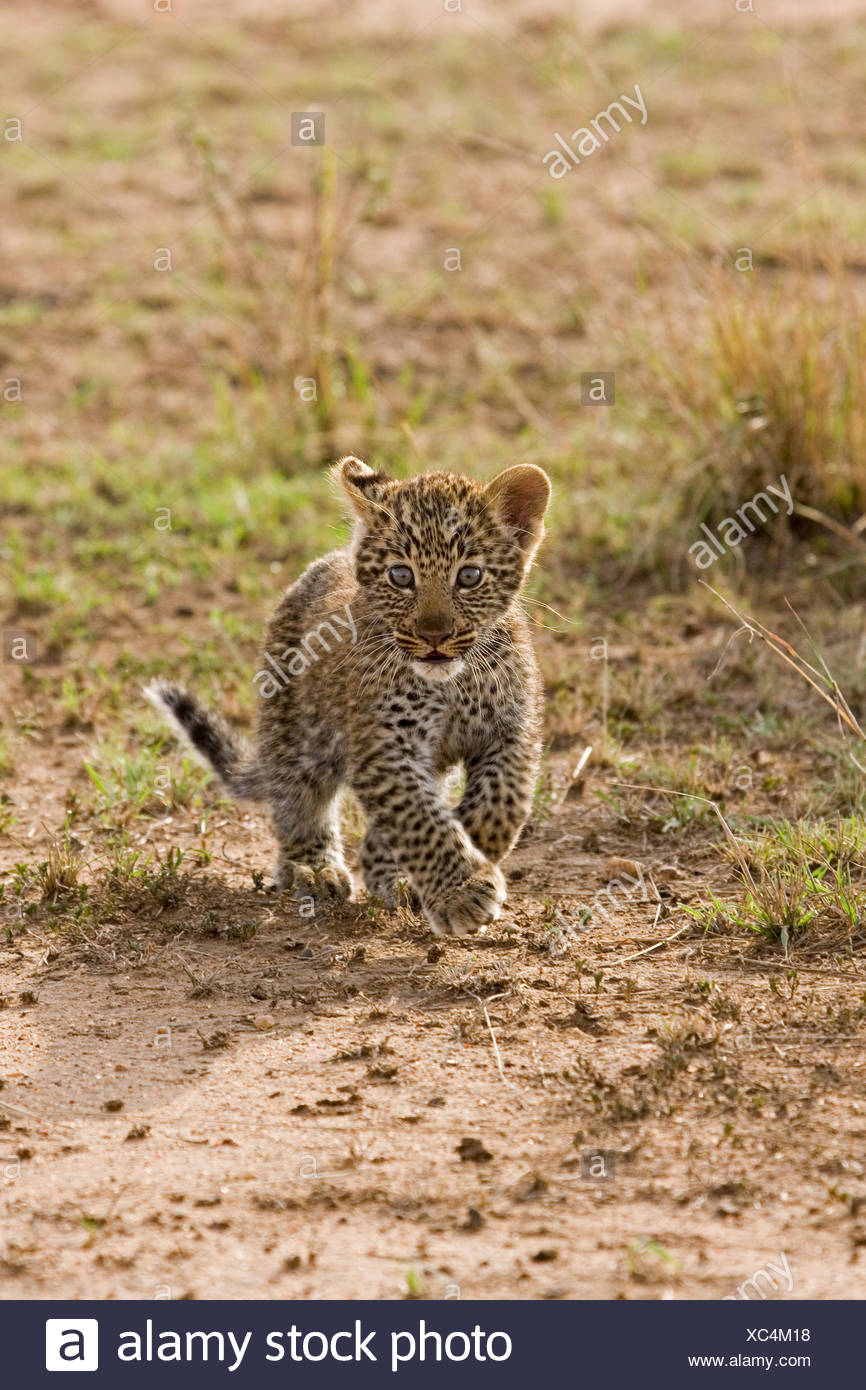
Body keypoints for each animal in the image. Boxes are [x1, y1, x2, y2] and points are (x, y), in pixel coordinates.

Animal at [146, 456, 551, 936]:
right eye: (401, 575)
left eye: (469, 576)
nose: (434, 636)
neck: (452, 683)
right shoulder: (383, 745)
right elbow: (419, 817)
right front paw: (462, 890)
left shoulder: (513, 730)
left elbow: (501, 801)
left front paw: (466, 851)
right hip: (296, 734)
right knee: (298, 800)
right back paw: (313, 868)